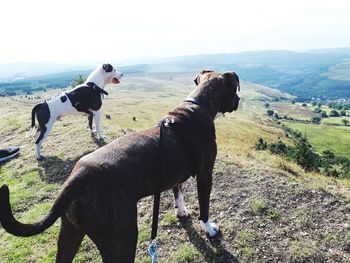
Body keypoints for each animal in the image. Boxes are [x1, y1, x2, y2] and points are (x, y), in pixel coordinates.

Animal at [0, 70, 241, 263]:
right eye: (235, 89)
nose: (240, 100)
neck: (197, 105)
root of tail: (79, 177)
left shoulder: (175, 174)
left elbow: (178, 192)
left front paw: (181, 211)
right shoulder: (205, 174)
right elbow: (204, 206)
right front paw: (209, 229)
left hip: (69, 234)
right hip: (121, 240)